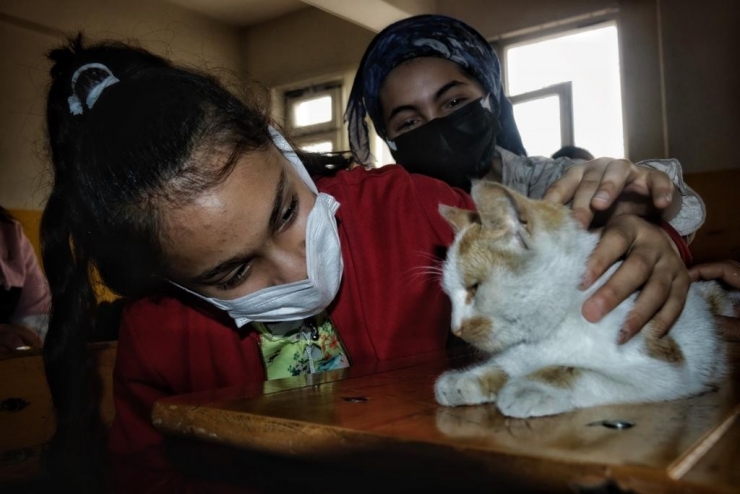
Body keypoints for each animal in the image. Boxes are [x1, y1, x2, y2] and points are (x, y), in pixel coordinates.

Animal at [436, 181, 732, 416]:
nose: (455, 328)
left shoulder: (666, 373)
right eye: (450, 295)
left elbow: (574, 370)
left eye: (474, 288)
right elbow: (506, 365)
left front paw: (532, 386)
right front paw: (468, 379)